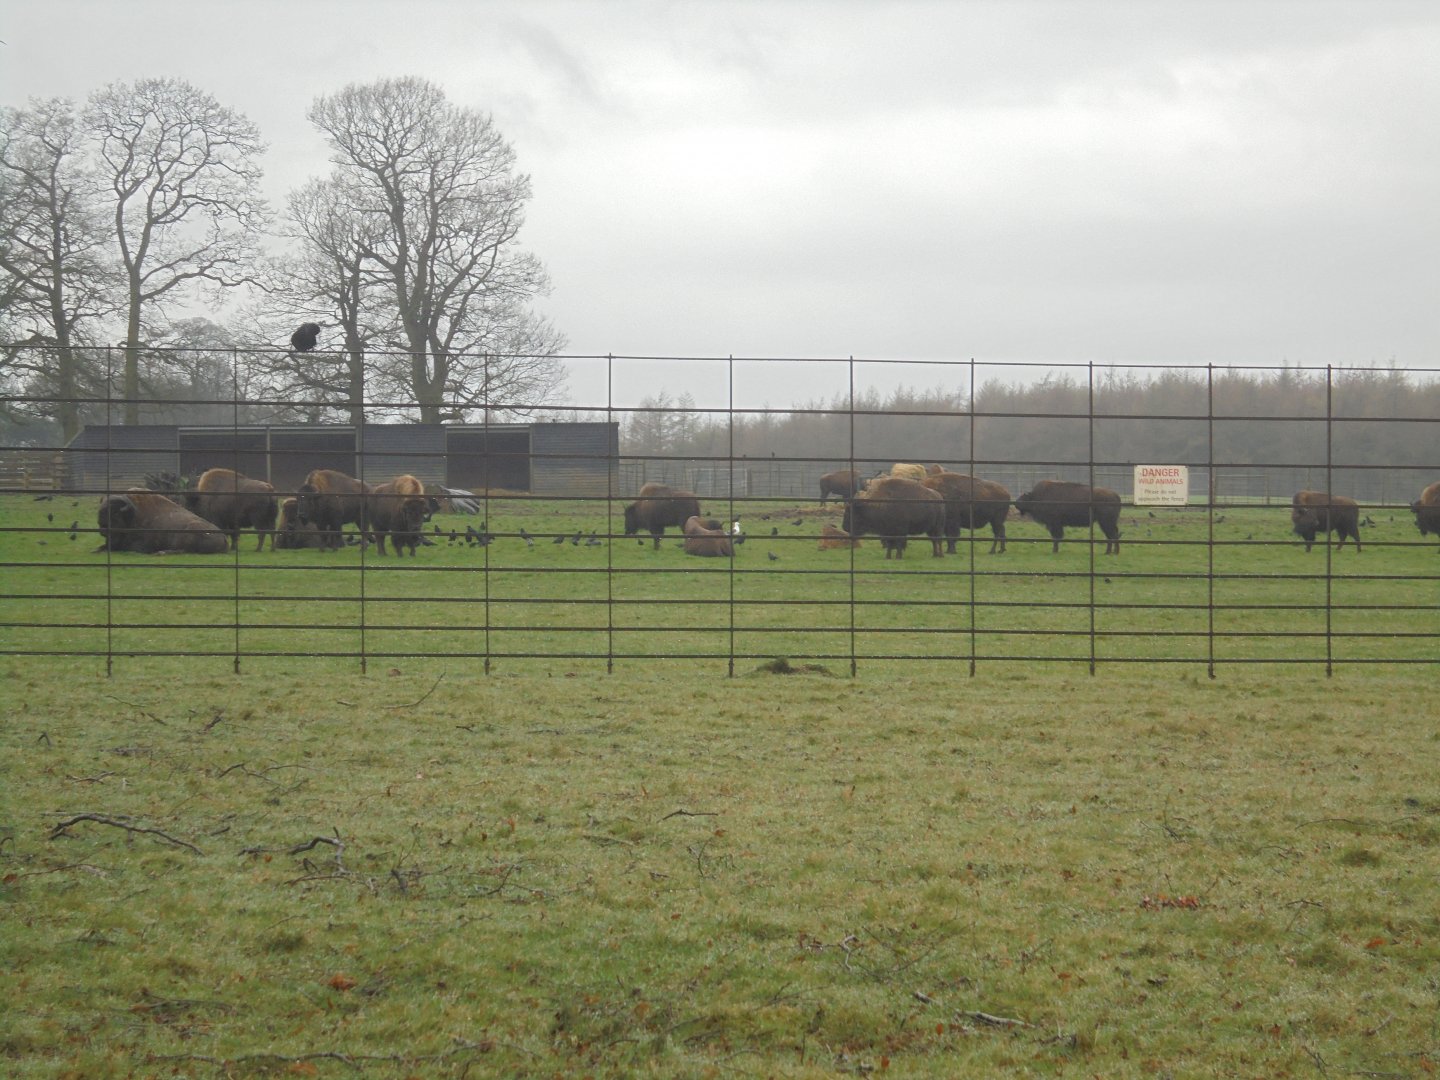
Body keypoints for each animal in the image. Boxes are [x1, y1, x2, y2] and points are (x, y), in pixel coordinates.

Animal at [97, 490, 229, 555]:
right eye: (101, 507)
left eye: (114, 512)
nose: (102, 527)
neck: (132, 515)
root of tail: (223, 537)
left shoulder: (142, 546)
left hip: (190, 531)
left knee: (184, 550)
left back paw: (161, 552)